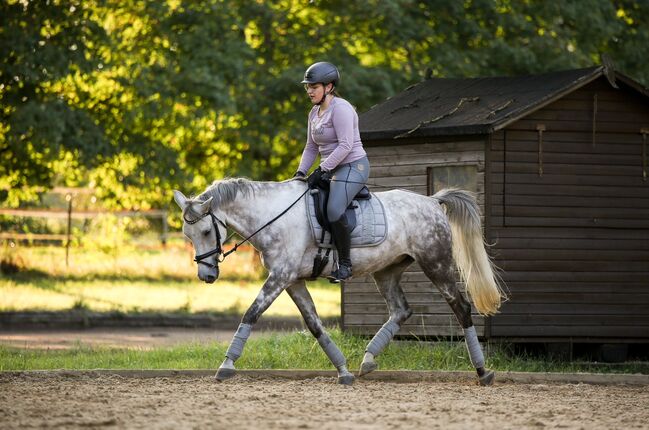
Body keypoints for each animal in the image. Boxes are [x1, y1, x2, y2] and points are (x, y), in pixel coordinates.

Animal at [173, 177, 506, 386]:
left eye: (206, 231)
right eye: (187, 235)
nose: (206, 276)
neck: (273, 216)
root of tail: (432, 201)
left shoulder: (280, 277)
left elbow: (251, 313)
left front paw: (226, 366)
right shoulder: (292, 281)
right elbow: (315, 325)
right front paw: (343, 370)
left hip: (436, 263)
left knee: (461, 307)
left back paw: (482, 372)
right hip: (386, 271)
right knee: (401, 310)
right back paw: (368, 360)